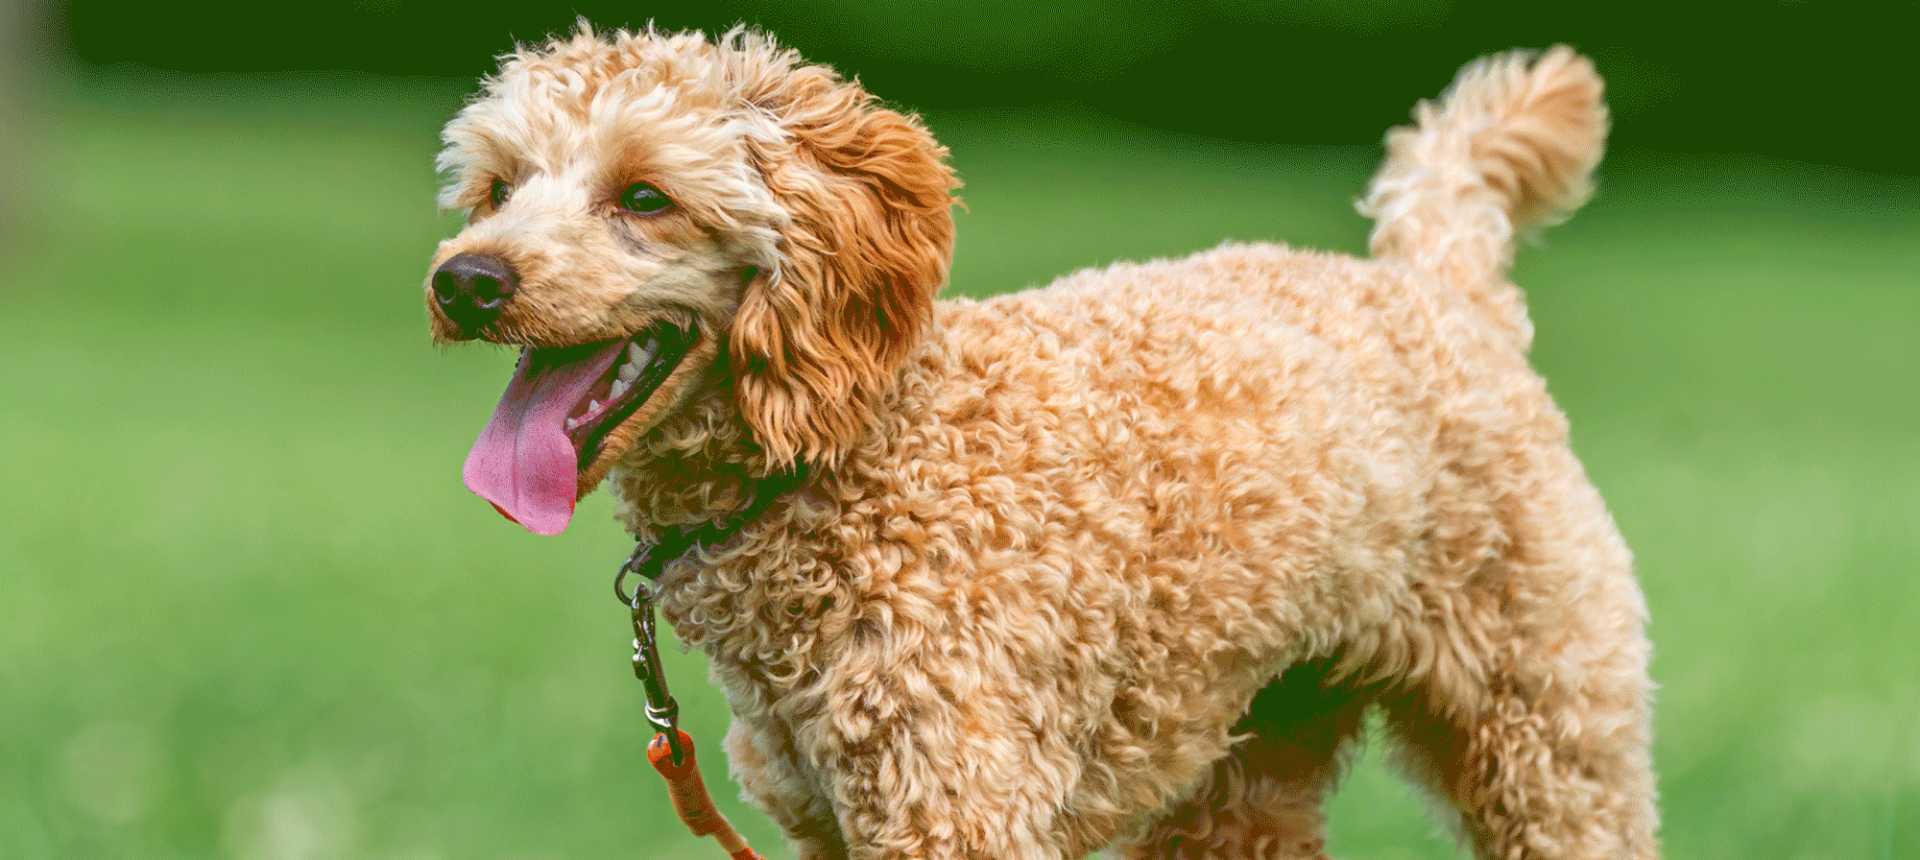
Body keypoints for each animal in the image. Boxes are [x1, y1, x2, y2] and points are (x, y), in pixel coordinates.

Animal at [428, 26, 1658, 860]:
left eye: (645, 198)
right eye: (496, 189)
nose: (465, 281)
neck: (858, 453)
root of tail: (1442, 282)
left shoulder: (957, 802)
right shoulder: (831, 820)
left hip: (1548, 723)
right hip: (1251, 751)